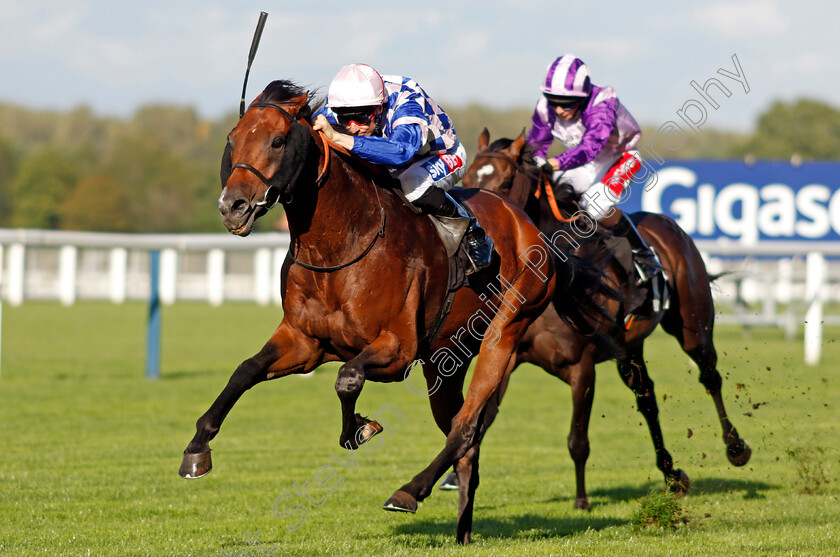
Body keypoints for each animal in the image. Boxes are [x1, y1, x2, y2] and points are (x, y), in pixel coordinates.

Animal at [179, 82, 572, 544]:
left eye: (277, 140)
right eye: (232, 140)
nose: (232, 207)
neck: (341, 245)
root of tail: (524, 222)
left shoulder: (397, 350)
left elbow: (348, 378)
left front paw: (359, 429)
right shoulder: (304, 342)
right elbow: (245, 371)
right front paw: (196, 450)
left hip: (505, 330)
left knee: (466, 427)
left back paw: (410, 491)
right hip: (444, 363)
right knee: (465, 440)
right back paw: (462, 530)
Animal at [460, 128, 756, 510]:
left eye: (506, 181)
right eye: (467, 181)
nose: (480, 230)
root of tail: (669, 224)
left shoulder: (582, 367)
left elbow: (577, 440)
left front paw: (582, 500)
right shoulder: (509, 356)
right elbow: (482, 419)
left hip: (693, 326)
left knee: (710, 376)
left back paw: (736, 447)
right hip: (630, 348)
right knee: (647, 399)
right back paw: (672, 475)